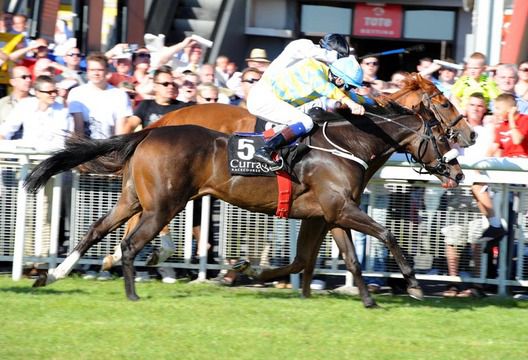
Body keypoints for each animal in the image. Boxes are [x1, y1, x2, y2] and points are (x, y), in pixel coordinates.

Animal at [25, 98, 462, 304]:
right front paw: (414, 285)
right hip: (163, 205)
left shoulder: (331, 214)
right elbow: (387, 234)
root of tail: (149, 130)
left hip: (134, 200)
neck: (347, 144)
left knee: (96, 230)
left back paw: (54, 274)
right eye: (443, 134)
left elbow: (342, 259)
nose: (458, 173)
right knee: (129, 243)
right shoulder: (340, 209)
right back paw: (132, 289)